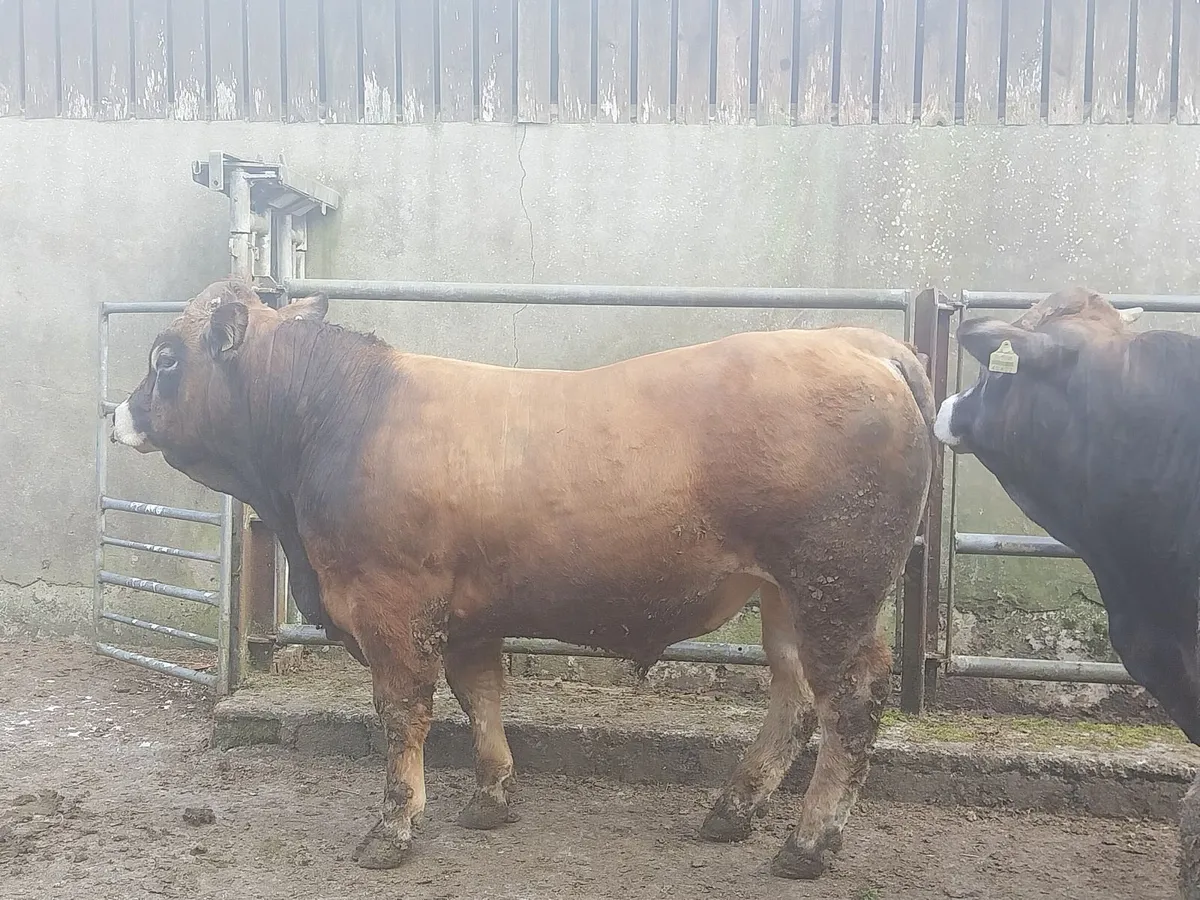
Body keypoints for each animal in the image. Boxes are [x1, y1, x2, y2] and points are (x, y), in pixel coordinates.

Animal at [112, 278, 934, 879]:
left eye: (165, 357)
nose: (119, 414)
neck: (333, 417)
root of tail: (857, 342)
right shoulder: (467, 614)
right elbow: (480, 695)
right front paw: (492, 798)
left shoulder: (392, 603)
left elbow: (403, 713)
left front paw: (393, 828)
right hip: (787, 596)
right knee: (795, 697)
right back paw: (731, 812)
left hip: (835, 587)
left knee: (850, 705)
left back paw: (806, 845)